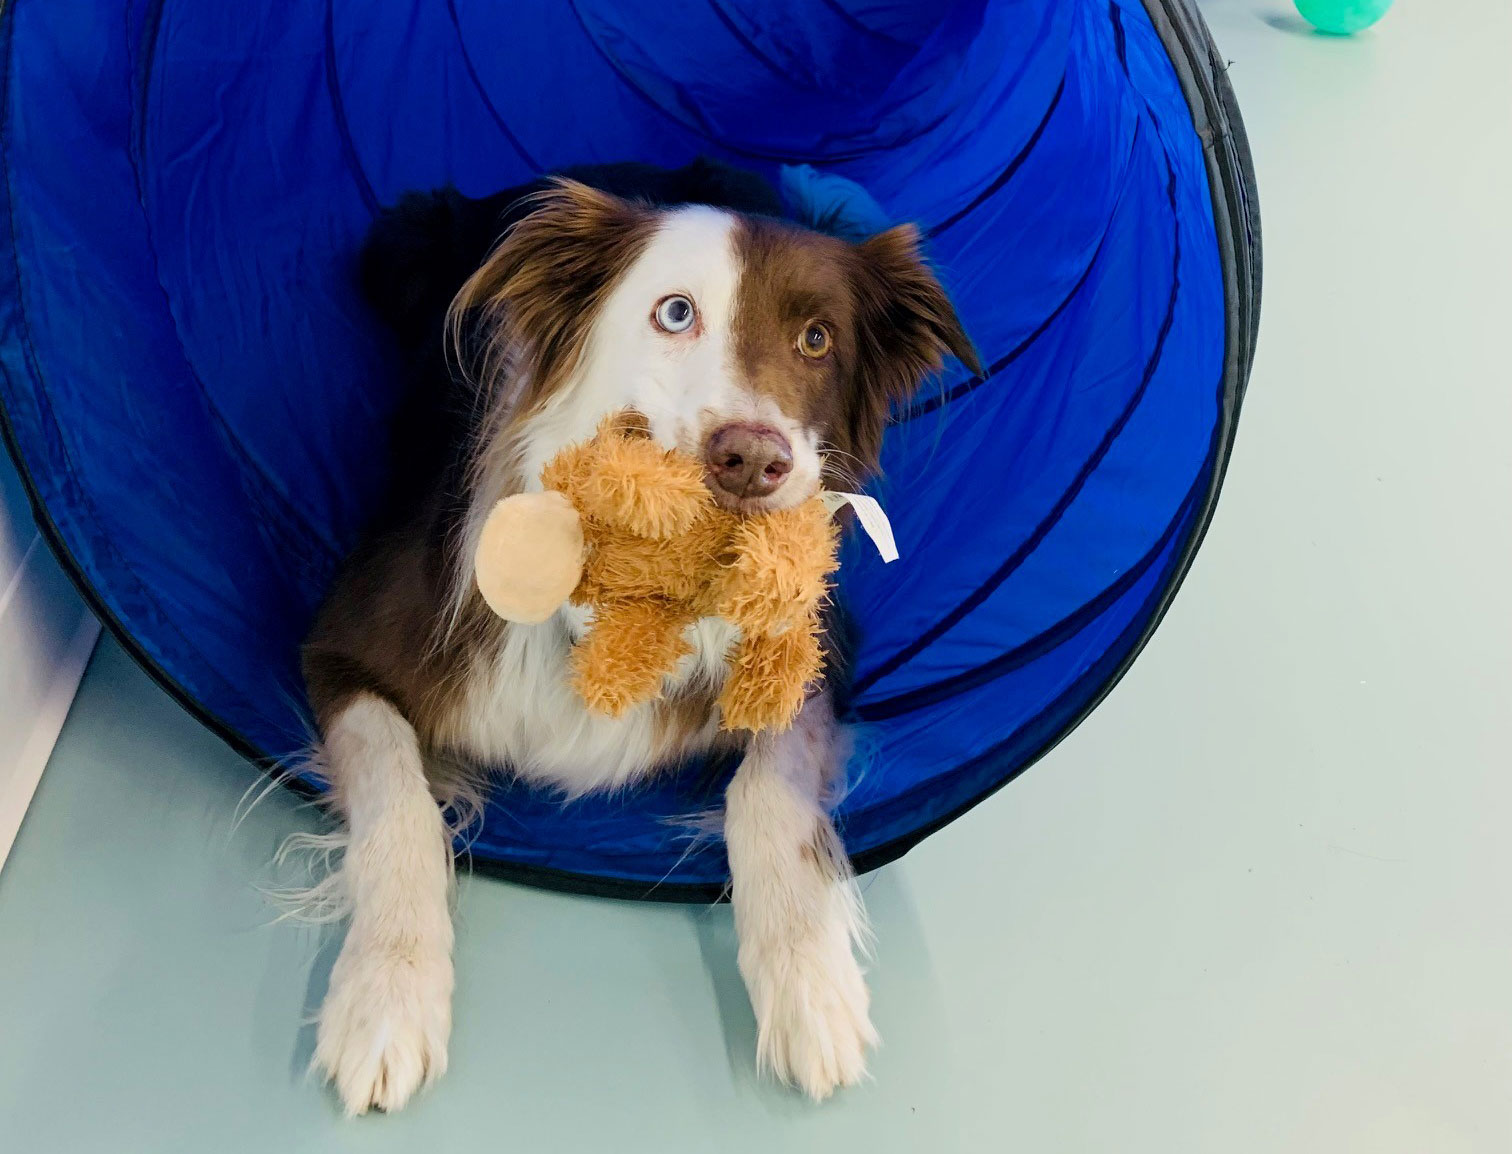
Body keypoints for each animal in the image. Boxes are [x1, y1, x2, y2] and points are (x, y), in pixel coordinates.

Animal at [299, 158, 973, 1113]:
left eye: (816, 340)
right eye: (675, 312)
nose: (753, 460)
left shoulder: (820, 655)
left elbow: (765, 791)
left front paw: (811, 982)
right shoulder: (344, 642)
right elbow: (400, 801)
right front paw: (384, 998)